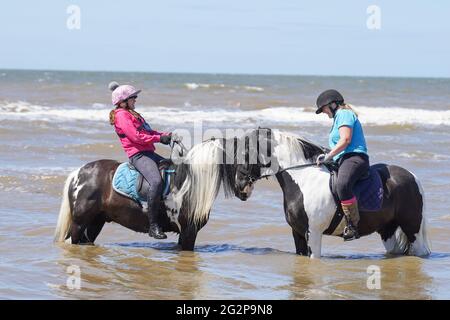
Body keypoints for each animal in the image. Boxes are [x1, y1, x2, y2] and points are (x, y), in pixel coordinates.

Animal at [234, 127, 430, 258]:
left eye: (246, 152)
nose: (239, 187)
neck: (303, 179)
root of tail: (412, 176)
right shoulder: (297, 233)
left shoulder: (313, 233)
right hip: (387, 230)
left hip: (412, 228)